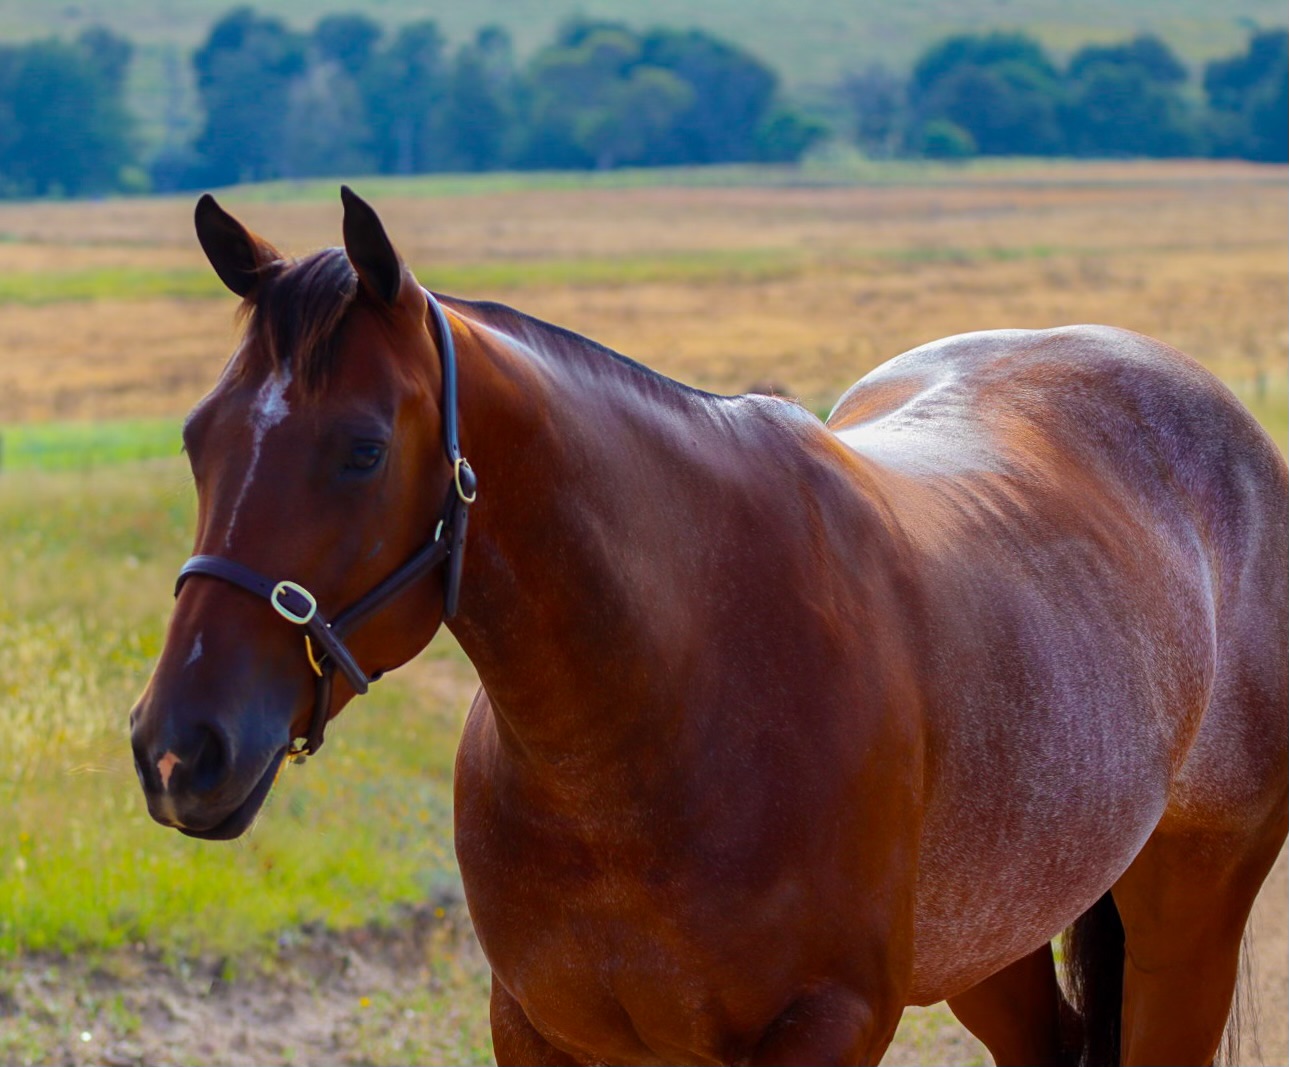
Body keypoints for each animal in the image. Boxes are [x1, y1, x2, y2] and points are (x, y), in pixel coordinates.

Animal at [129, 186, 1287, 1066]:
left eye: (363, 449)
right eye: (196, 436)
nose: (178, 747)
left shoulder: (823, 1025)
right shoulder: (543, 1030)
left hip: (1186, 917)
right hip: (997, 943)